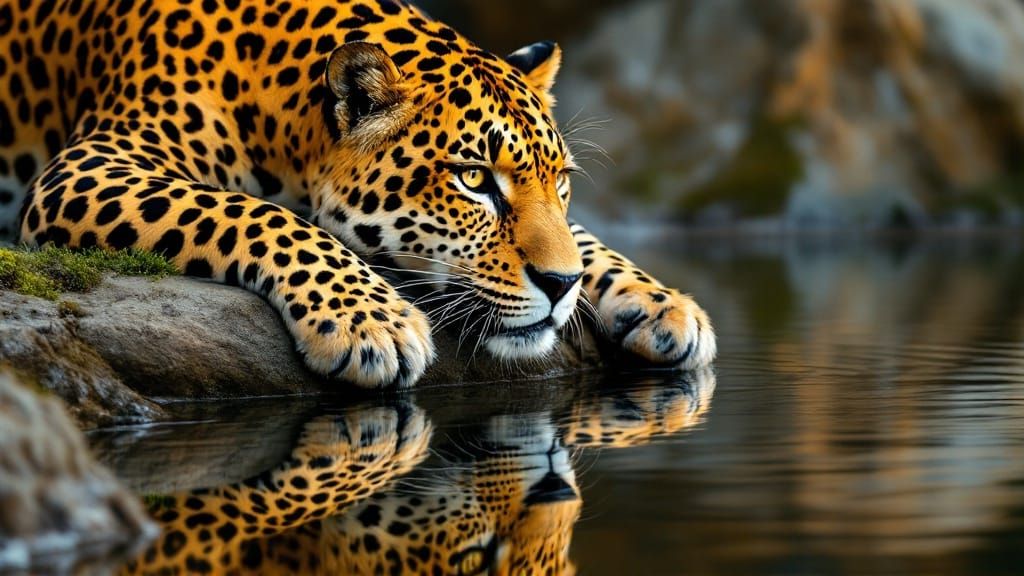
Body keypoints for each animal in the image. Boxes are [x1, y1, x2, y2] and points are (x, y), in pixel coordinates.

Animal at [0, 0, 716, 387]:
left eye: (560, 182)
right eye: (474, 178)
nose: (562, 287)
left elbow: (588, 237)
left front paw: (666, 305)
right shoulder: (89, 166)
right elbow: (254, 211)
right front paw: (371, 324)